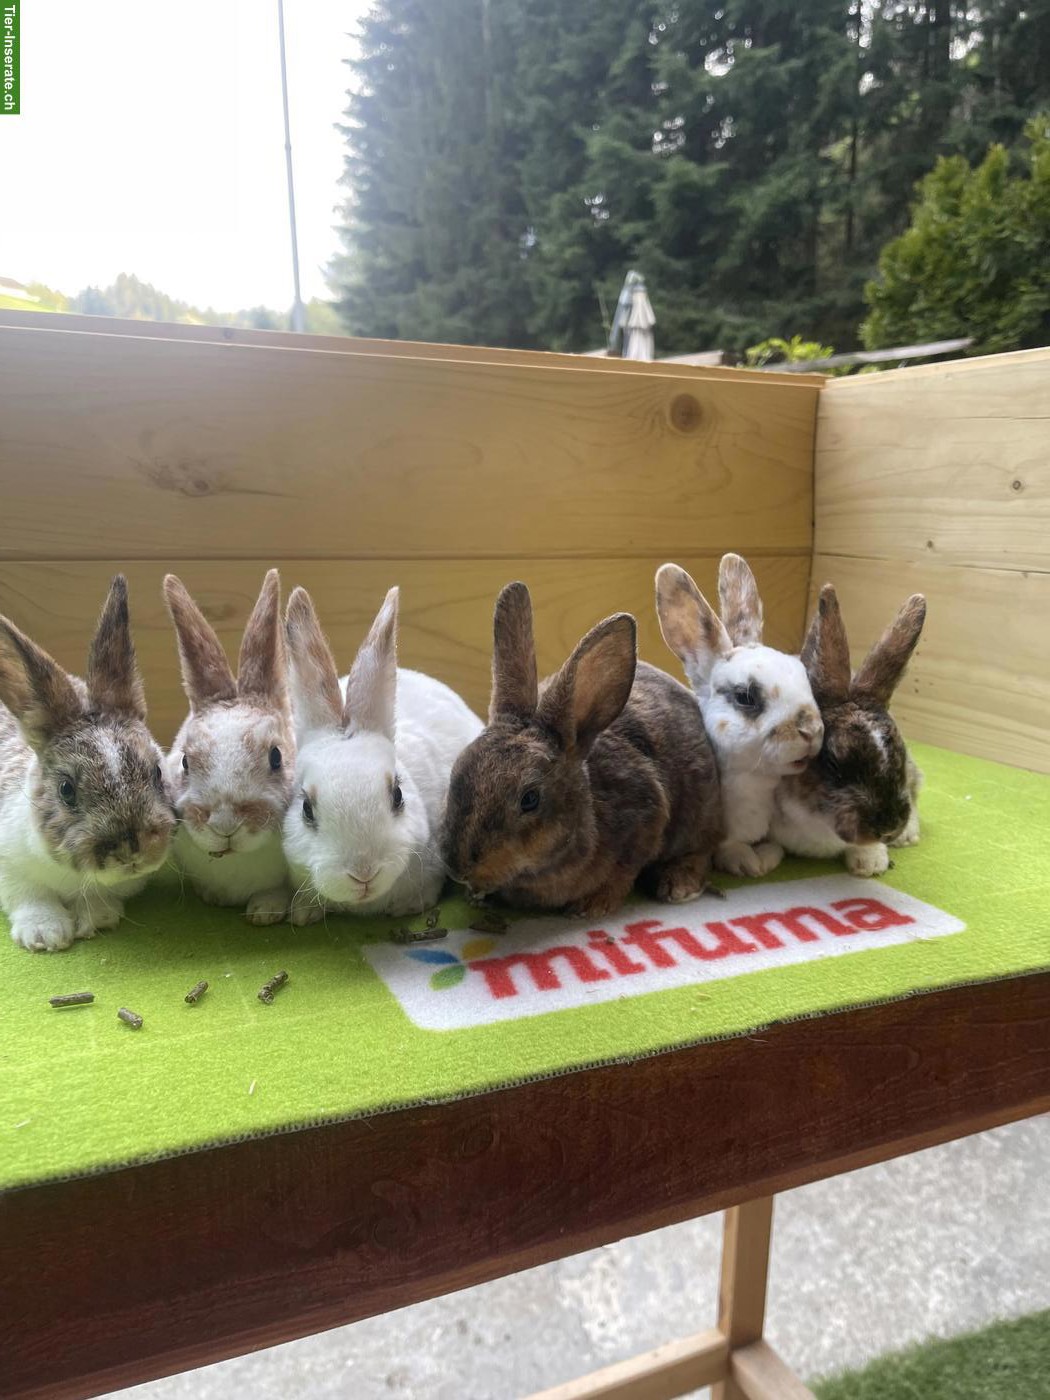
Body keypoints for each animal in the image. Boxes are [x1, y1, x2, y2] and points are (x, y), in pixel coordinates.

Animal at [0, 576, 176, 951]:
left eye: (156, 772)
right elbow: (27, 895)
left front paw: (97, 918)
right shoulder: (9, 867)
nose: (131, 848)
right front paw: (45, 934)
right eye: (66, 790)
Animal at [440, 581, 722, 920]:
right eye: (458, 769)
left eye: (530, 799)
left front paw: (592, 905)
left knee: (703, 848)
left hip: (700, 811)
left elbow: (623, 872)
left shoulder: (646, 819)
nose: (456, 867)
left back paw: (678, 884)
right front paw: (477, 895)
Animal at [654, 555, 824, 879]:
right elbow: (728, 847)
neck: (755, 784)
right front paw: (746, 863)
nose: (812, 730)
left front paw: (767, 858)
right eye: (746, 697)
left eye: (803, 675)